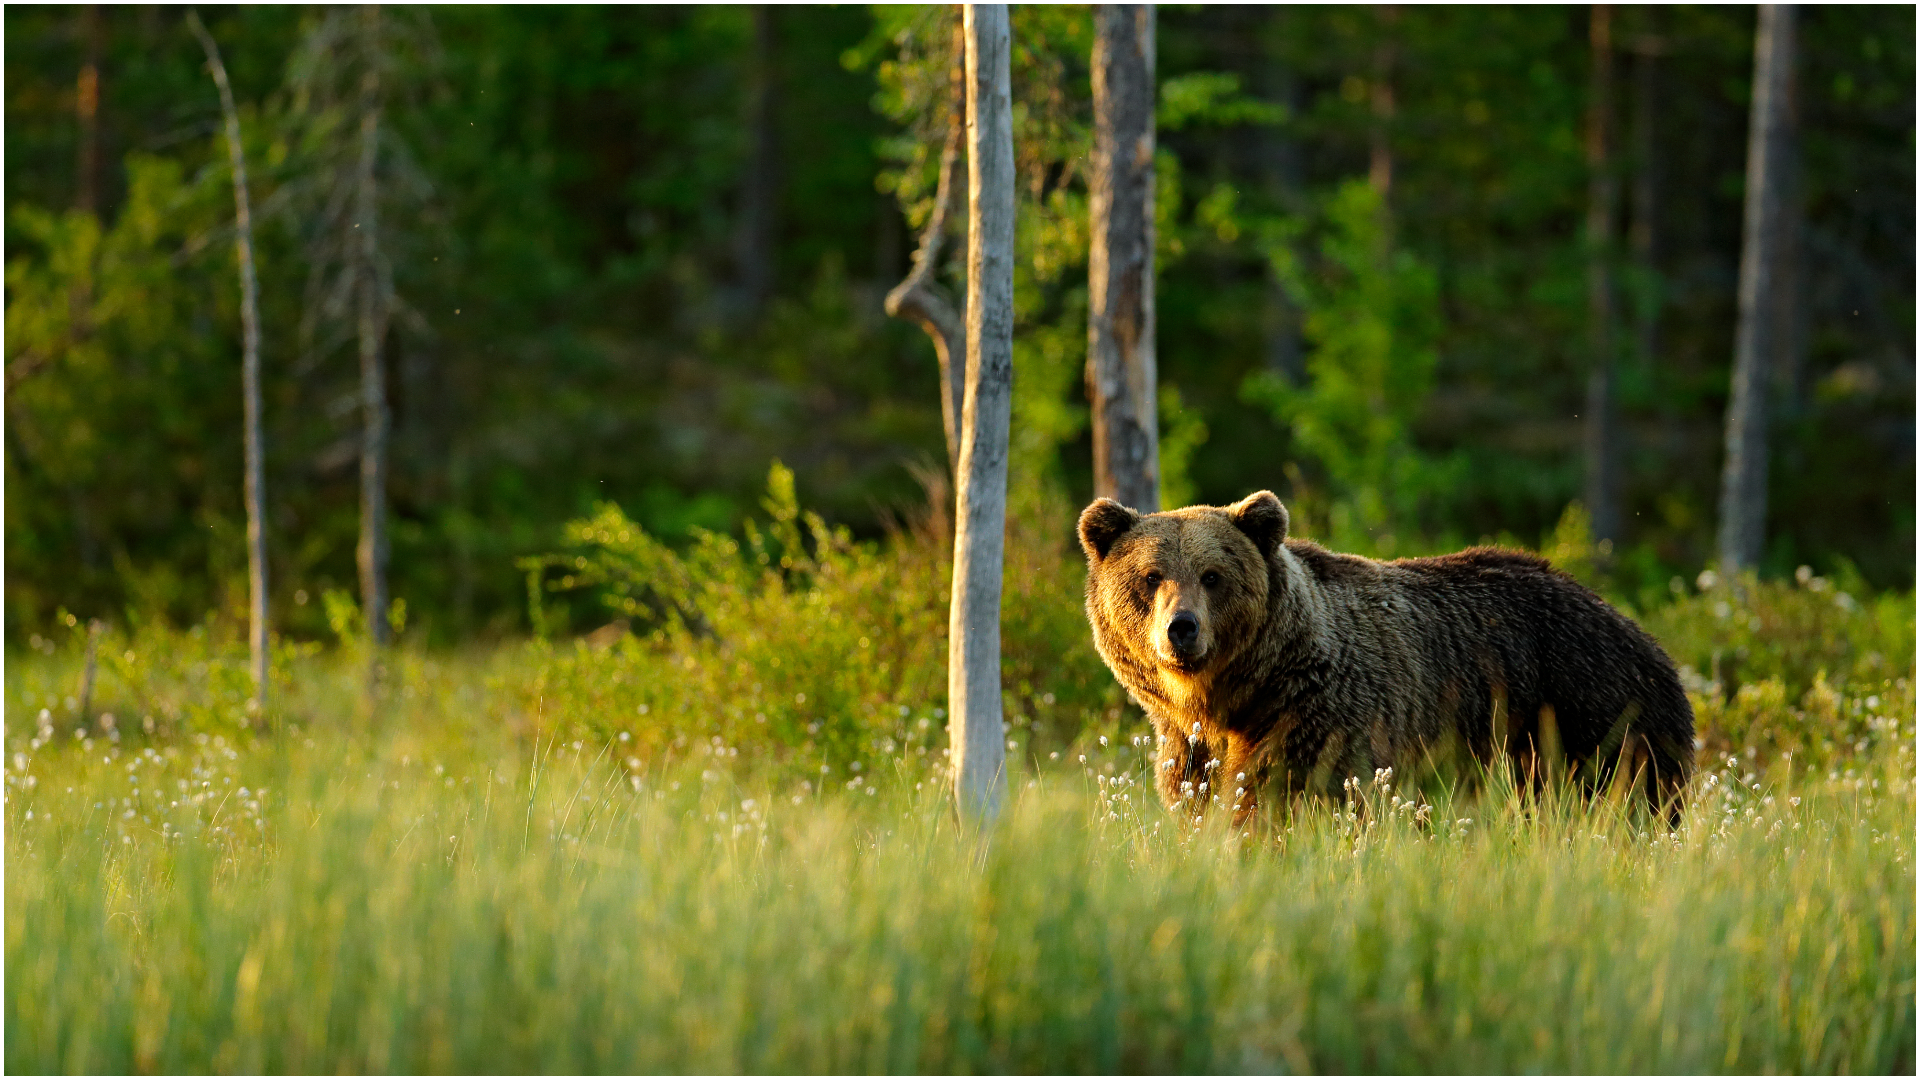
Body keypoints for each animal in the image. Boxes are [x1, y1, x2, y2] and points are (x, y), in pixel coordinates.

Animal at [1082, 490, 1697, 822]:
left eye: (1212, 576)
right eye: (1150, 576)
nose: (1180, 629)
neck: (1239, 696)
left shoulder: (1319, 720)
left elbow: (1280, 800)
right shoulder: (1189, 747)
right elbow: (1199, 799)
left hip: (1591, 715)